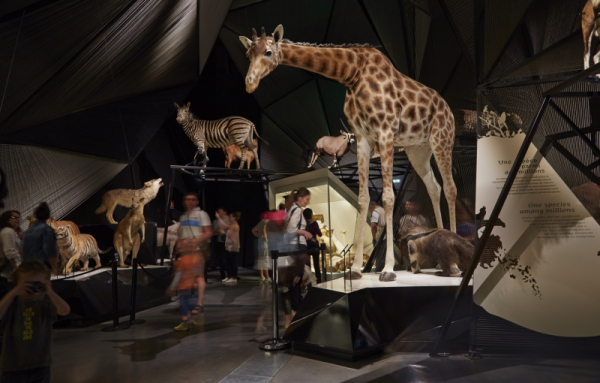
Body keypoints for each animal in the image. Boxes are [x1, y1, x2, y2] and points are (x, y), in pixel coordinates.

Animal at [239, 24, 454, 282]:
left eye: (269, 52)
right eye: (248, 54)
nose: (249, 83)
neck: (353, 73)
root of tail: (449, 109)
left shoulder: (385, 132)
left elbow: (388, 197)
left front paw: (388, 269)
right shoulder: (363, 137)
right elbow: (363, 198)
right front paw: (355, 269)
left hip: (442, 139)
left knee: (450, 188)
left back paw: (454, 258)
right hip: (418, 150)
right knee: (434, 187)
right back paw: (438, 254)